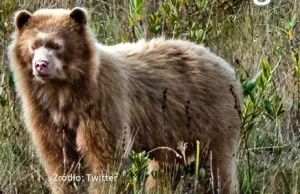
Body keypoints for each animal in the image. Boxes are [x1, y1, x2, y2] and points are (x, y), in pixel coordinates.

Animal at [8, 7, 244, 194]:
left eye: (57, 45)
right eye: (33, 45)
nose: (41, 65)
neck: (64, 94)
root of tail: (224, 64)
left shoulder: (103, 104)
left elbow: (106, 159)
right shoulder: (45, 115)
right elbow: (59, 160)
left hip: (210, 117)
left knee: (216, 167)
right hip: (172, 132)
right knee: (164, 170)